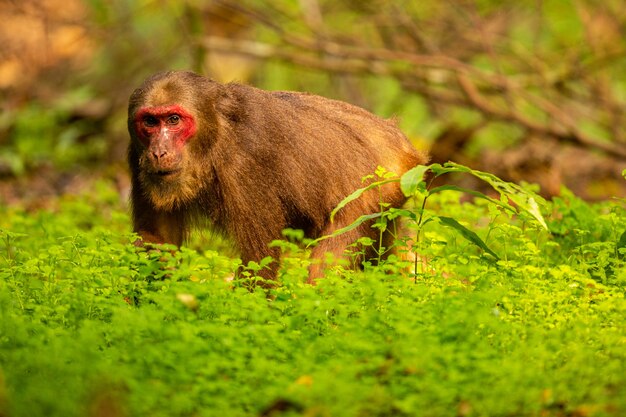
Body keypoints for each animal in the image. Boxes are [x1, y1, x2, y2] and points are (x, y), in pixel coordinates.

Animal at [128, 70, 428, 282]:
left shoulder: (246, 163)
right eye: (150, 122)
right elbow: (159, 241)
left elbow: (259, 261)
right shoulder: (135, 156)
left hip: (371, 194)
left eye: (174, 120)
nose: (158, 151)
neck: (217, 136)